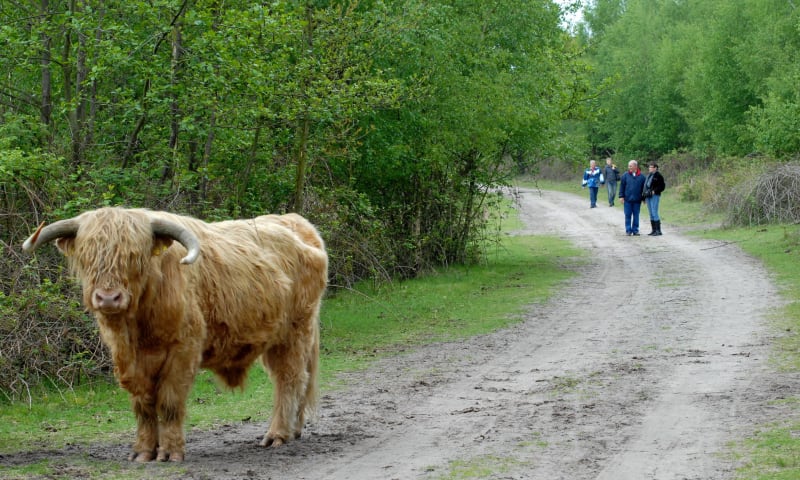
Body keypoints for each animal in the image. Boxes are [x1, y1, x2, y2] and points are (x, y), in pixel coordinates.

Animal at [23, 208, 326, 464]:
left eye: (135, 256)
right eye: (87, 256)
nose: (108, 298)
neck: (137, 328)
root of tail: (296, 223)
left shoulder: (183, 350)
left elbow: (168, 402)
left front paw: (169, 452)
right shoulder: (129, 361)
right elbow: (144, 407)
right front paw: (143, 452)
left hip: (294, 332)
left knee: (290, 379)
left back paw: (277, 434)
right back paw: (294, 429)